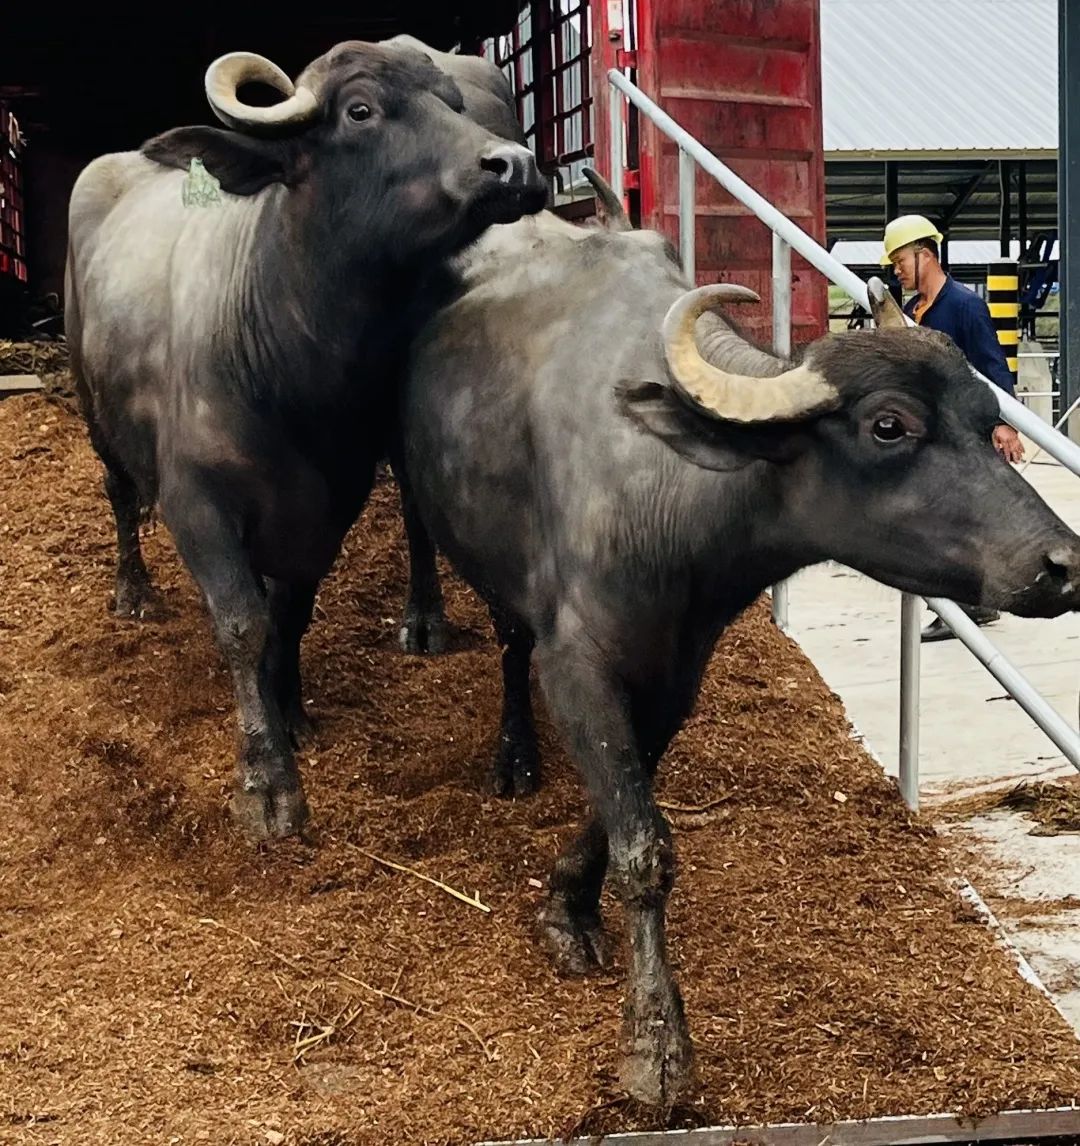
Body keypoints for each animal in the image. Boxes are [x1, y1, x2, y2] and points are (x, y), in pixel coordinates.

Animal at [63, 38, 550, 843]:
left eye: (452, 102)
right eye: (360, 111)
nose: (514, 165)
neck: (287, 367)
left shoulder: (326, 504)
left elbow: (288, 613)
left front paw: (288, 708)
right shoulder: (197, 505)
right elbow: (240, 623)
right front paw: (268, 783)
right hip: (91, 403)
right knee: (118, 493)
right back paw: (132, 591)